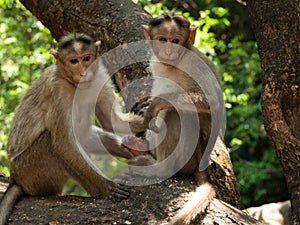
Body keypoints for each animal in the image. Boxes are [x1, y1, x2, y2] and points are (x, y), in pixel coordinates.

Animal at [0, 33, 138, 225]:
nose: (84, 72)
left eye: (86, 58)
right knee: (53, 145)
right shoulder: (57, 91)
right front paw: (106, 185)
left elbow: (112, 121)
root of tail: (15, 178)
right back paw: (97, 190)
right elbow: (63, 143)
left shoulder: (99, 78)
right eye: (74, 61)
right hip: (30, 171)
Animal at [123, 14, 224, 225]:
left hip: (190, 157)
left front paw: (156, 103)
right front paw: (146, 102)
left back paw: (159, 169)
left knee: (175, 114)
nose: (169, 50)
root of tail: (202, 163)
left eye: (176, 40)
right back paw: (139, 147)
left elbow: (210, 100)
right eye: (163, 40)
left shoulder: (194, 64)